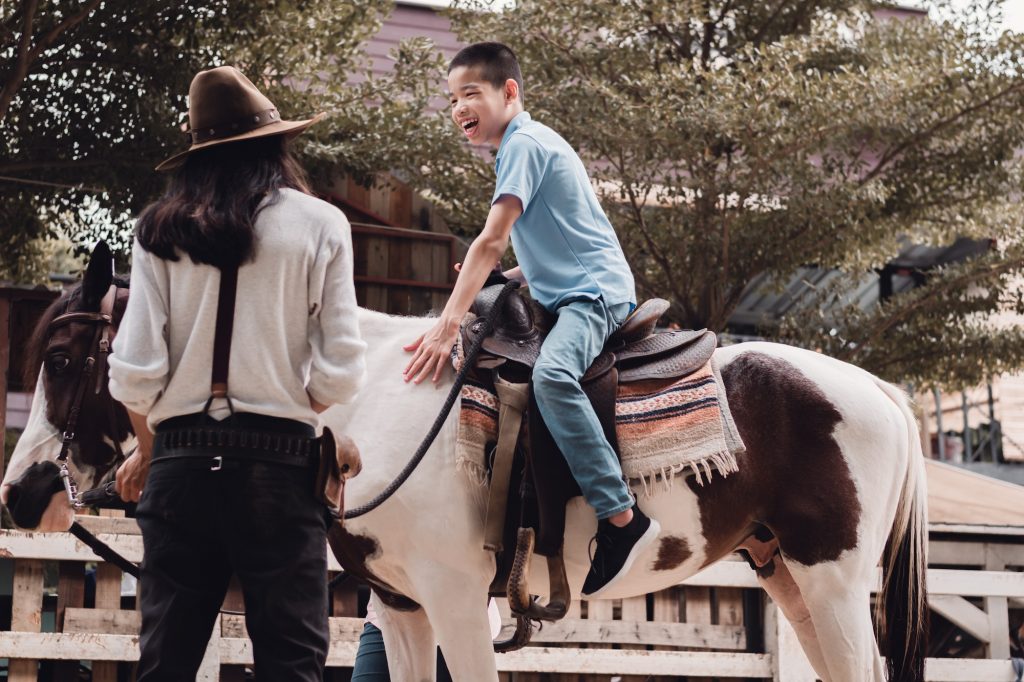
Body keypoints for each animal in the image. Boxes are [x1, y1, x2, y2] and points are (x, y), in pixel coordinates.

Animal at [2, 244, 929, 679]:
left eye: (64, 358)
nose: (24, 492)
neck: (369, 404)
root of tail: (883, 393)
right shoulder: (404, 606)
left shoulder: (453, 600)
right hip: (789, 580)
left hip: (834, 586)